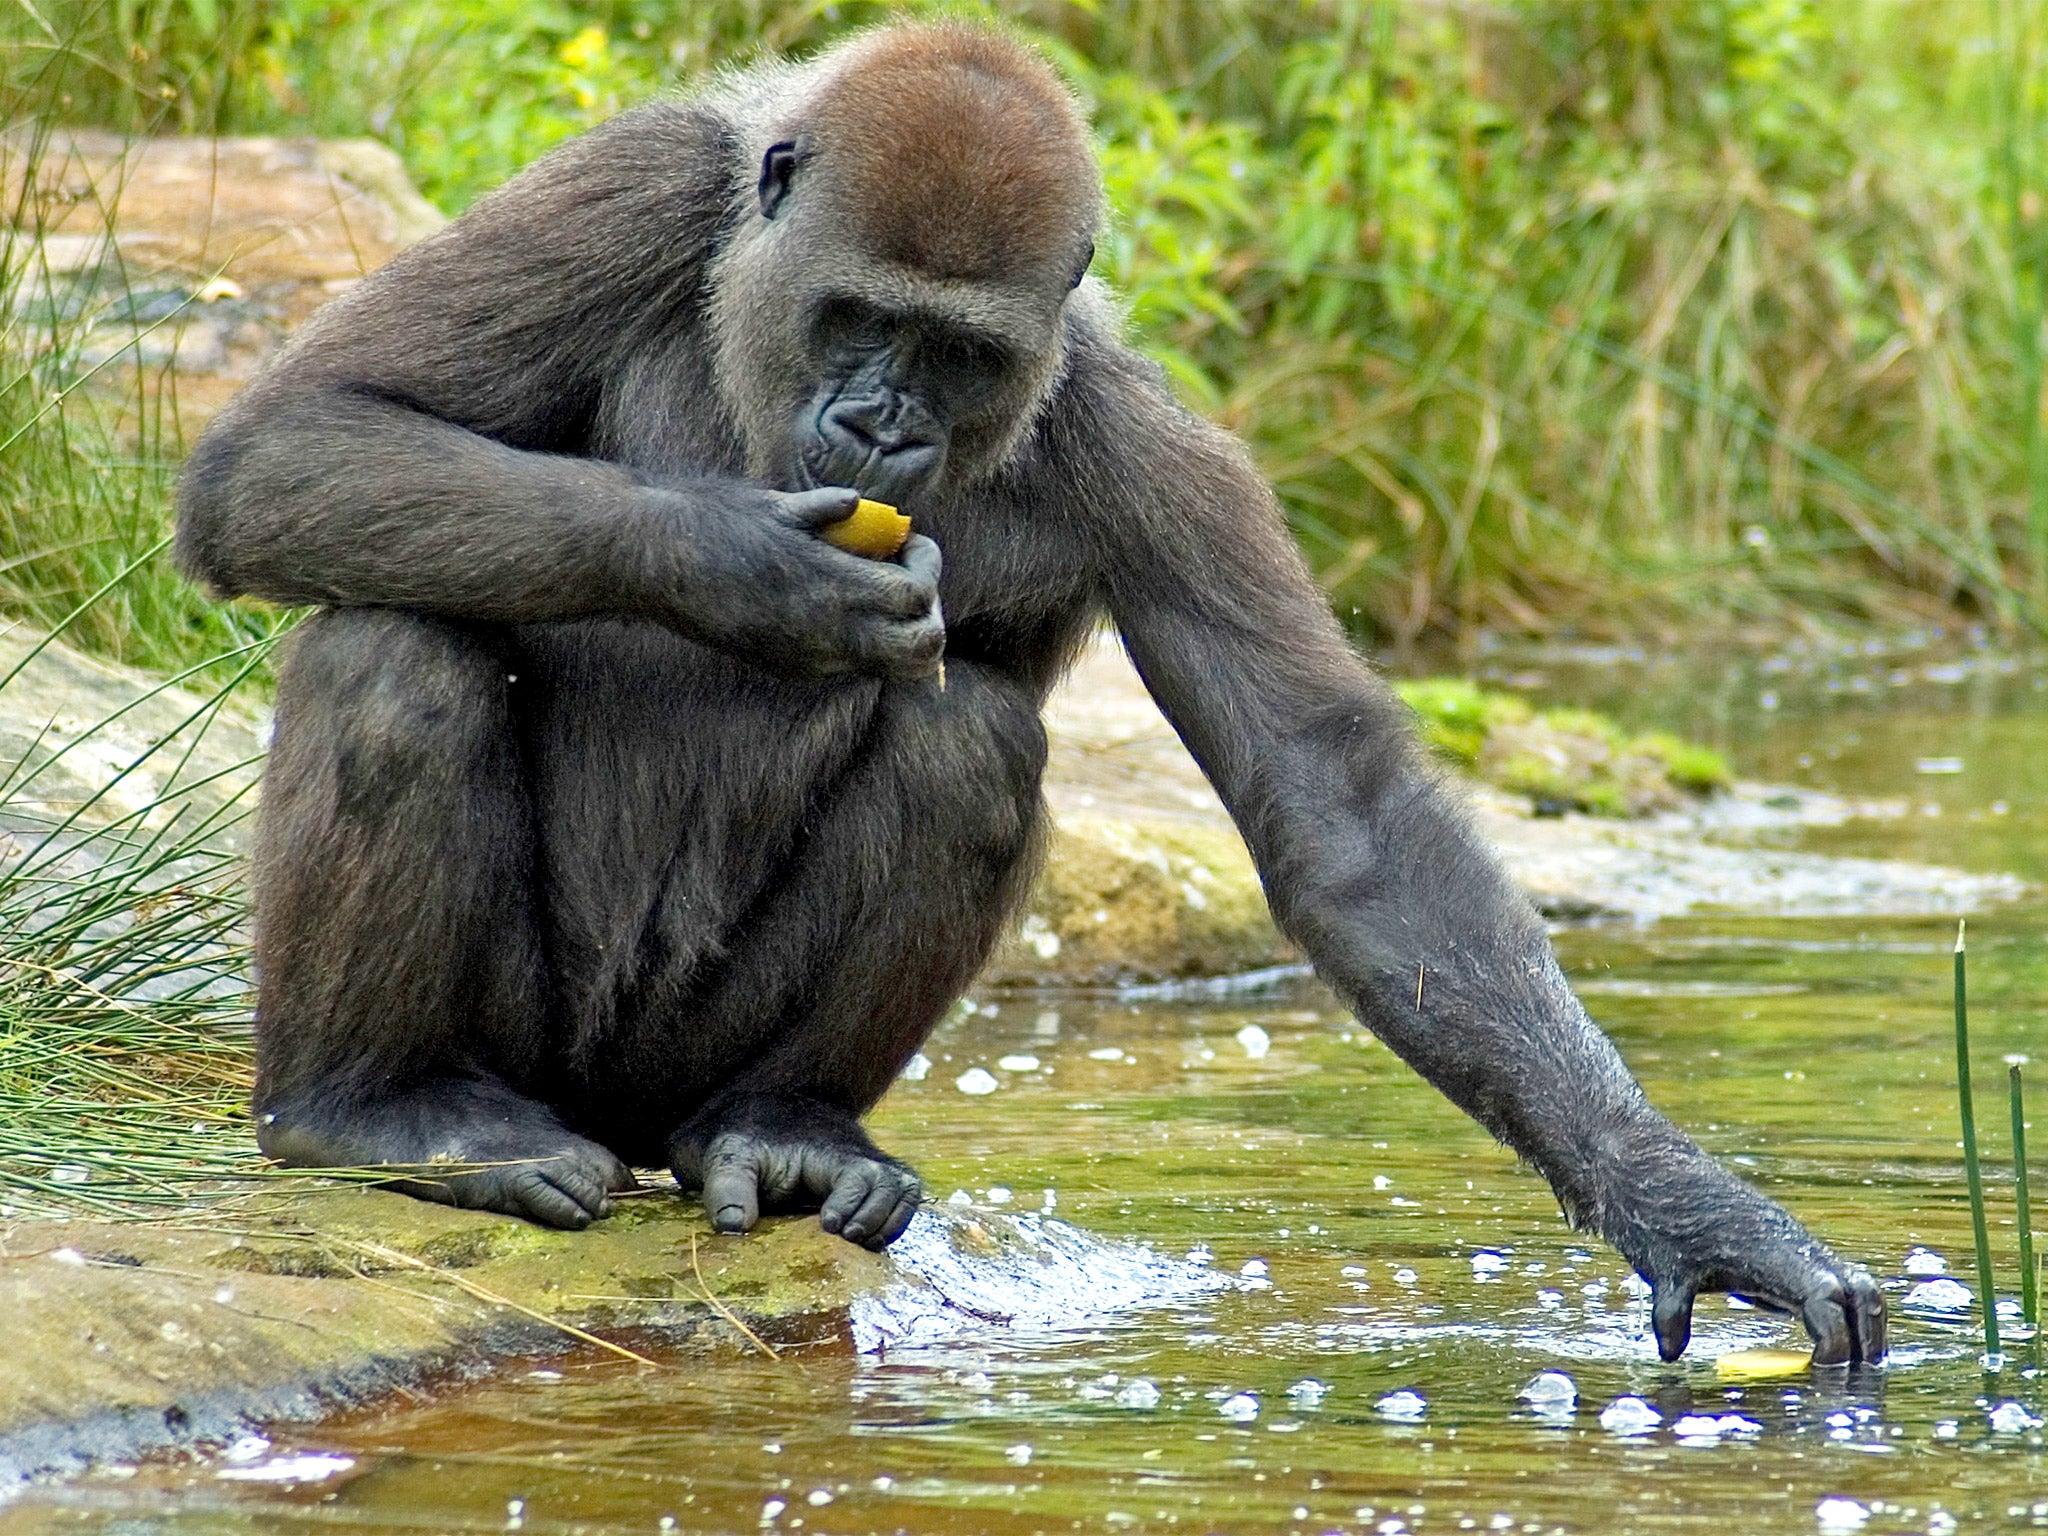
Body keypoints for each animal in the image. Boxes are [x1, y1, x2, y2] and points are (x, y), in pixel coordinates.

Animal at [180, 24, 1884, 1368]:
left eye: (957, 352)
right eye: (860, 319)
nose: (880, 428)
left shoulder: (1151, 445)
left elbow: (1340, 814)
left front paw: (1691, 1205)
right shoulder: (639, 182)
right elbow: (292, 441)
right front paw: (745, 564)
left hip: (670, 1083)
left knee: (970, 740)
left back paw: (786, 1133)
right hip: (537, 1063)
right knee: (392, 647)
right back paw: (372, 1110)